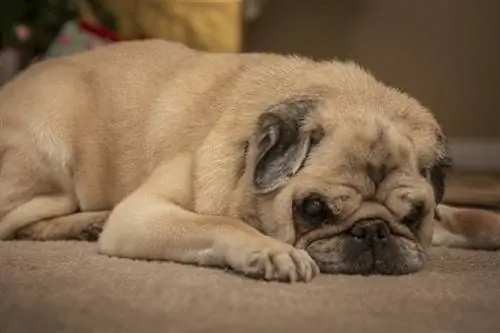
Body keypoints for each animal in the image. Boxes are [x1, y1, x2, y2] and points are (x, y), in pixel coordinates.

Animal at [0, 40, 500, 282]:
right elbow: (220, 223)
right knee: (15, 223)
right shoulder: (143, 214)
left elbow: (465, 216)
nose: (373, 231)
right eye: (313, 209)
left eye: (414, 216)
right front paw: (271, 251)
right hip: (53, 152)